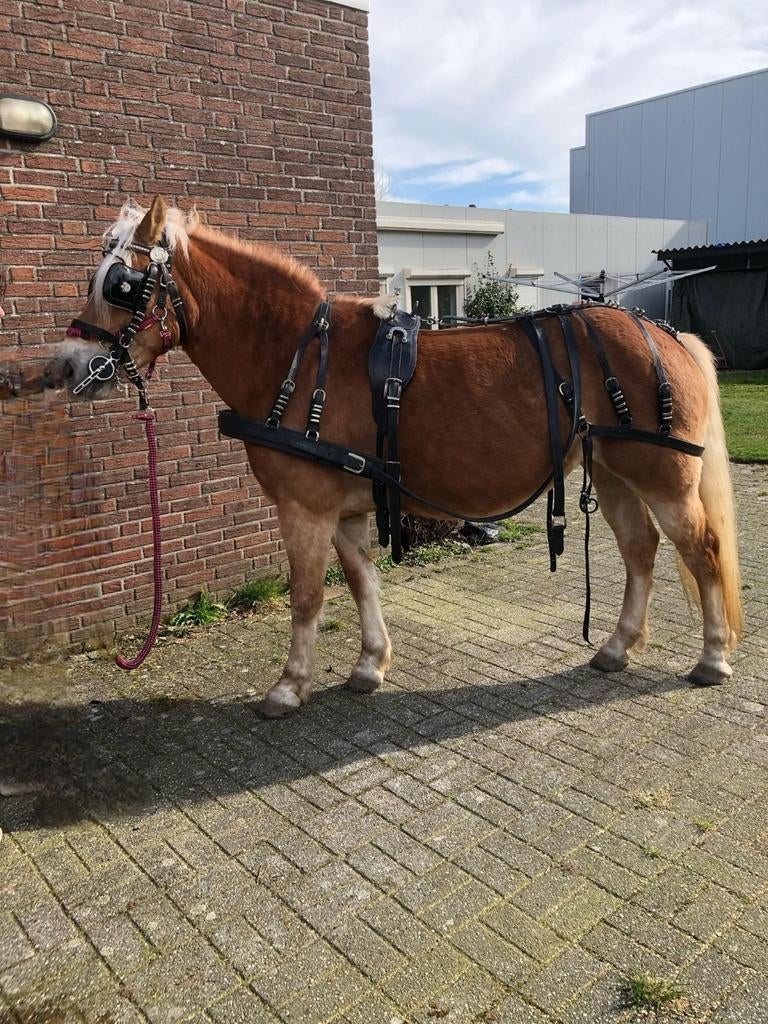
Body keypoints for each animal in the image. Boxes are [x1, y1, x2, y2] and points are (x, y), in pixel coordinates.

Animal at [50, 196, 742, 717]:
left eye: (121, 285)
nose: (70, 367)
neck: (299, 359)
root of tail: (665, 335)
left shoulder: (304, 508)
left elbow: (307, 596)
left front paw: (289, 685)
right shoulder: (346, 508)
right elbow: (361, 581)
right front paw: (368, 665)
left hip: (666, 478)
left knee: (700, 550)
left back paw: (712, 657)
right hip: (615, 471)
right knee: (640, 551)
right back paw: (618, 647)